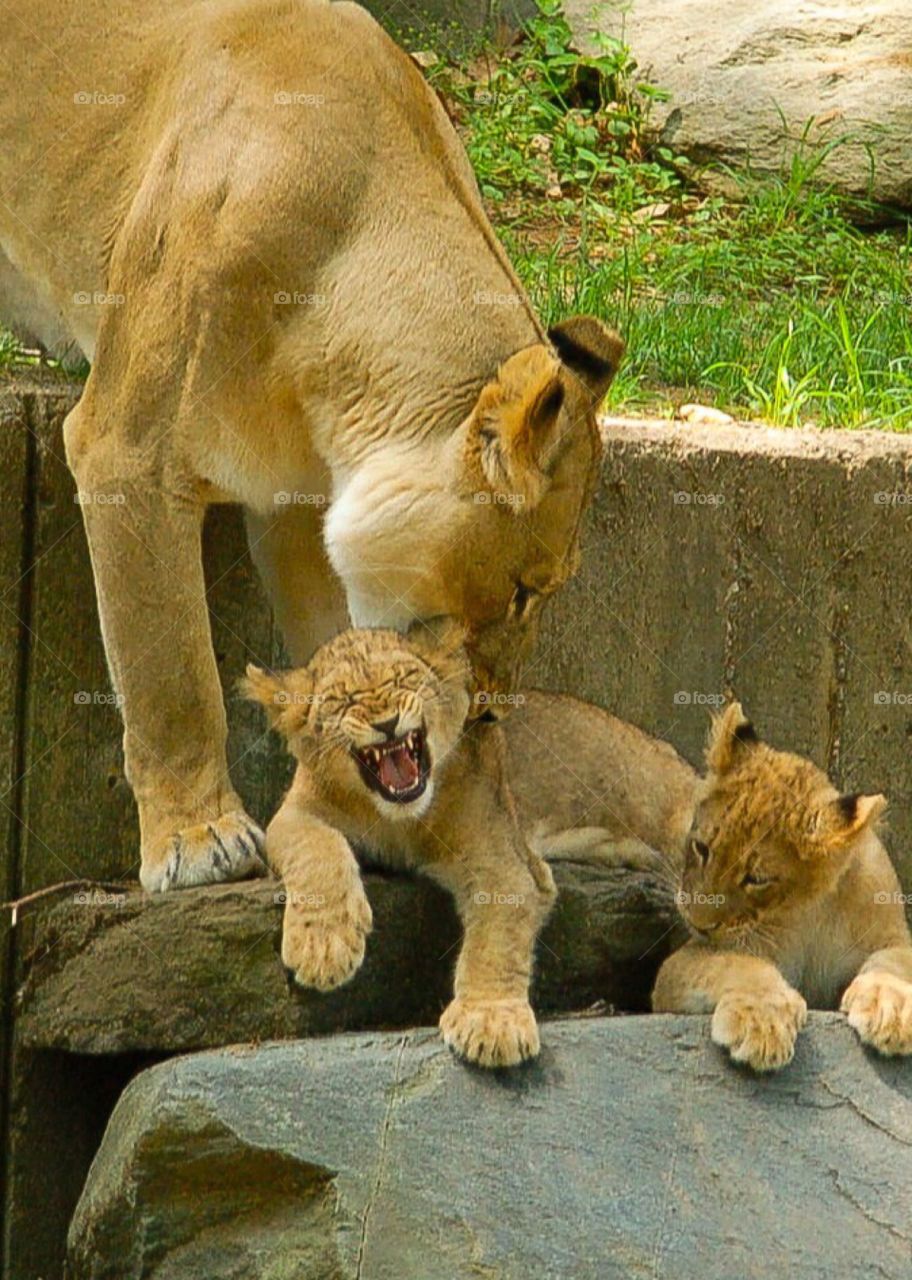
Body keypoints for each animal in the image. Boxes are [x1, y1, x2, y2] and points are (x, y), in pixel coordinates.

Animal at [0, 0, 619, 890]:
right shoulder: (126, 449)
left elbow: (342, 654)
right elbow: (171, 671)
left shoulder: (296, 504)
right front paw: (200, 839)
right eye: (526, 591)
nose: (495, 710)